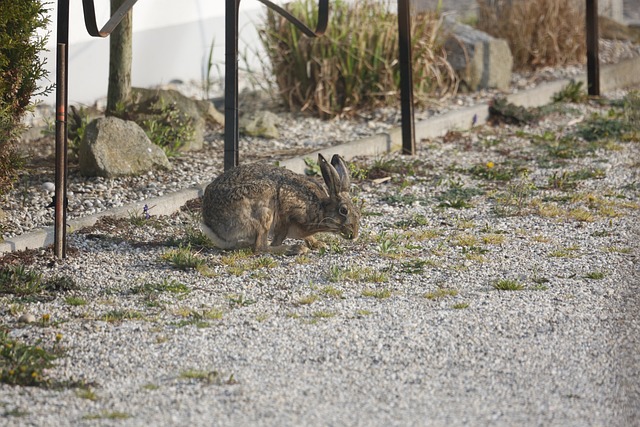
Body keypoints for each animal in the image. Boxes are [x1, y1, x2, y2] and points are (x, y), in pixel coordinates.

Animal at [201, 154, 360, 254]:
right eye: (343, 211)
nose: (354, 235)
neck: (321, 208)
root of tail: (212, 225)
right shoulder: (286, 214)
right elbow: (278, 237)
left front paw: (318, 244)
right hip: (263, 212)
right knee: (260, 247)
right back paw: (293, 249)